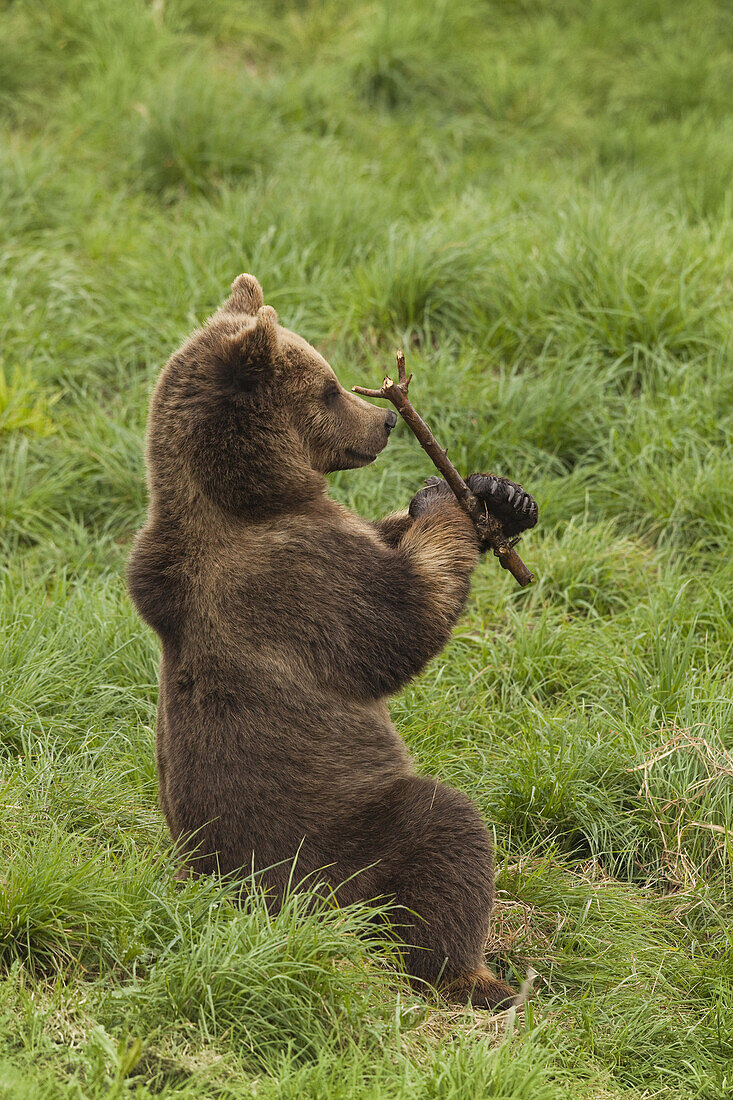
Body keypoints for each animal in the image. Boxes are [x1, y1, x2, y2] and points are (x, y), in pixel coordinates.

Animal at [125, 277, 537, 1012]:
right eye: (327, 387)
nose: (386, 422)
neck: (248, 498)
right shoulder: (294, 576)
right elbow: (398, 621)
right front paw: (450, 503)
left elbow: (385, 540)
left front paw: (496, 494)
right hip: (338, 846)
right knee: (444, 835)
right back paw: (479, 978)